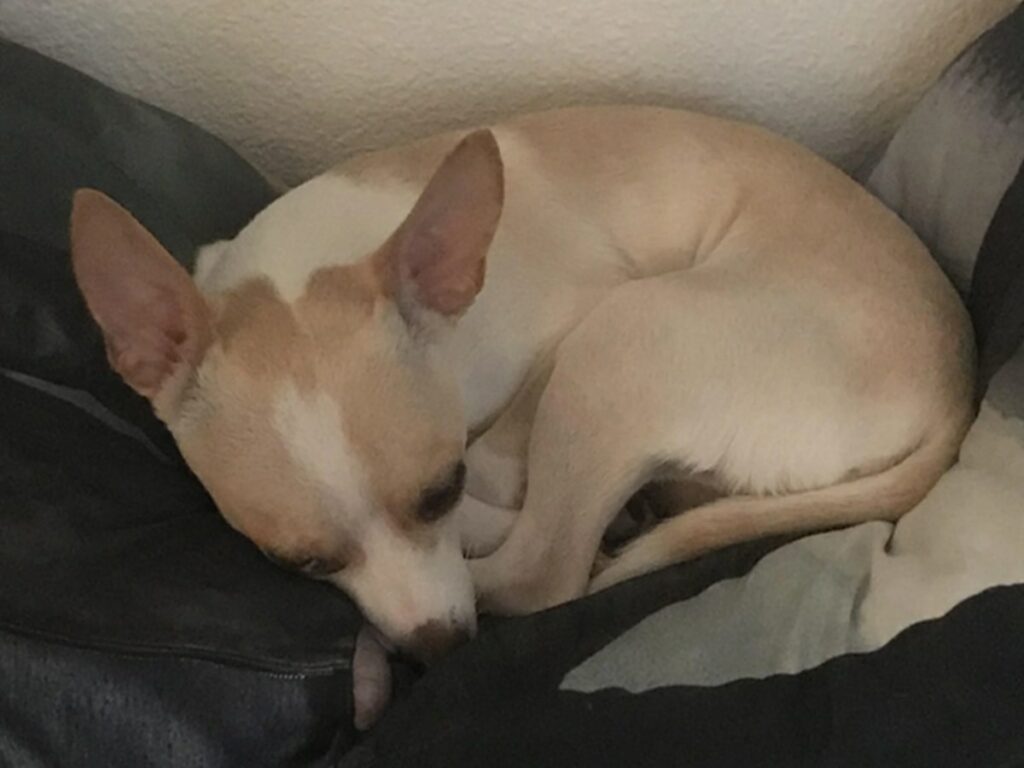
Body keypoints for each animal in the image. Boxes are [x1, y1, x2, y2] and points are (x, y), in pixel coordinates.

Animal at [68, 108, 970, 729]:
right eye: (300, 564)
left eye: (440, 489)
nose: (439, 649)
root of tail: (955, 392)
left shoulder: (572, 320)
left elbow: (505, 463)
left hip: (624, 338)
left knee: (546, 566)